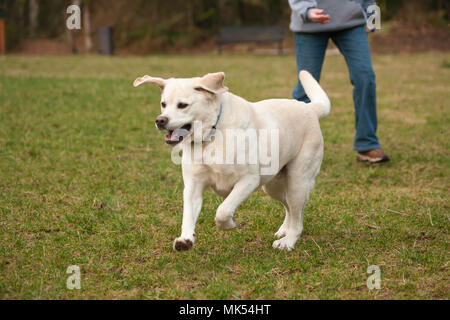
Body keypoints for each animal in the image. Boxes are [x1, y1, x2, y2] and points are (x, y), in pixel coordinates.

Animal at [134, 71, 330, 251]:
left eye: (182, 105)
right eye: (163, 104)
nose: (160, 120)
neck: (212, 134)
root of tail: (309, 108)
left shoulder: (249, 181)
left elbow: (223, 210)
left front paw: (228, 224)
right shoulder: (192, 186)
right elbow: (188, 216)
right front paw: (185, 240)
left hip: (297, 181)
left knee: (297, 216)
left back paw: (288, 241)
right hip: (273, 186)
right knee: (289, 207)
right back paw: (284, 230)